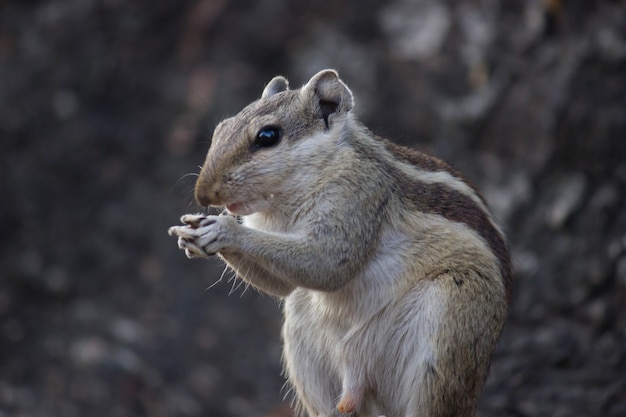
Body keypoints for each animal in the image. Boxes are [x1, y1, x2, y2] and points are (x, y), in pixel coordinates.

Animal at [168, 69, 510, 416]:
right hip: (307, 344)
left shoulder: (358, 198)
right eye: (221, 128)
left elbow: (328, 264)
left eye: (268, 136)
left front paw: (222, 230)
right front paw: (193, 235)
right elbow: (282, 285)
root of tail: (357, 379)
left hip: (448, 328)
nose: (203, 194)